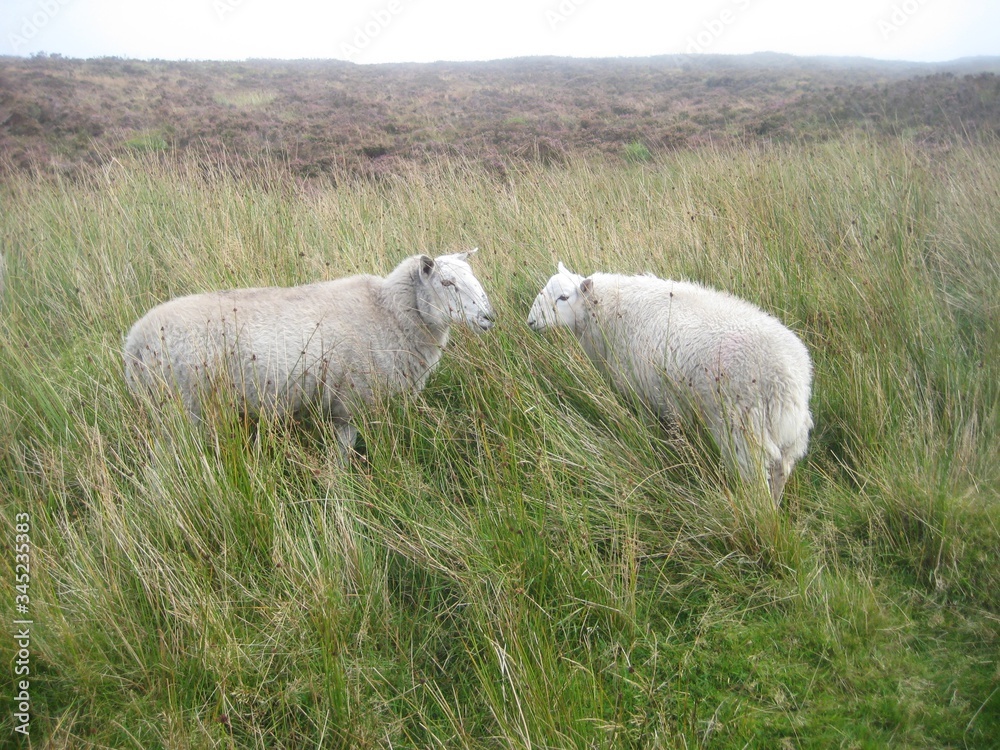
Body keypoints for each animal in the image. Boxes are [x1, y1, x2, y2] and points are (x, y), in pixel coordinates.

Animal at [124, 249, 494, 453]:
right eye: (446, 283)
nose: (489, 317)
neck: (389, 312)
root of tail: (134, 342)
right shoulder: (351, 405)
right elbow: (342, 457)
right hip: (182, 409)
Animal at [527, 263, 813, 504]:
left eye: (563, 297)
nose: (531, 321)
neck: (606, 310)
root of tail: (789, 381)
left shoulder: (640, 390)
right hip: (788, 437)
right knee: (781, 472)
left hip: (743, 429)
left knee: (757, 482)